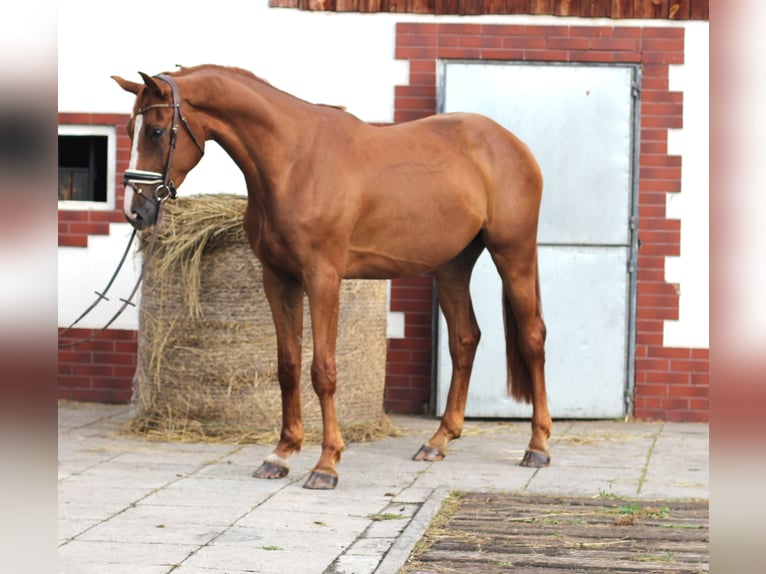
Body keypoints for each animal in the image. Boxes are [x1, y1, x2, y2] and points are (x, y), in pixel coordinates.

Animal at [112, 66, 552, 490]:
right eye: (130, 129)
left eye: (155, 130)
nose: (136, 211)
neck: (293, 162)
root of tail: (513, 144)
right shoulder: (278, 279)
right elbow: (288, 366)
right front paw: (281, 454)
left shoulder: (322, 278)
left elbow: (322, 370)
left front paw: (326, 464)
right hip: (452, 266)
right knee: (464, 340)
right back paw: (438, 441)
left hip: (513, 253)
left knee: (532, 338)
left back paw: (538, 446)